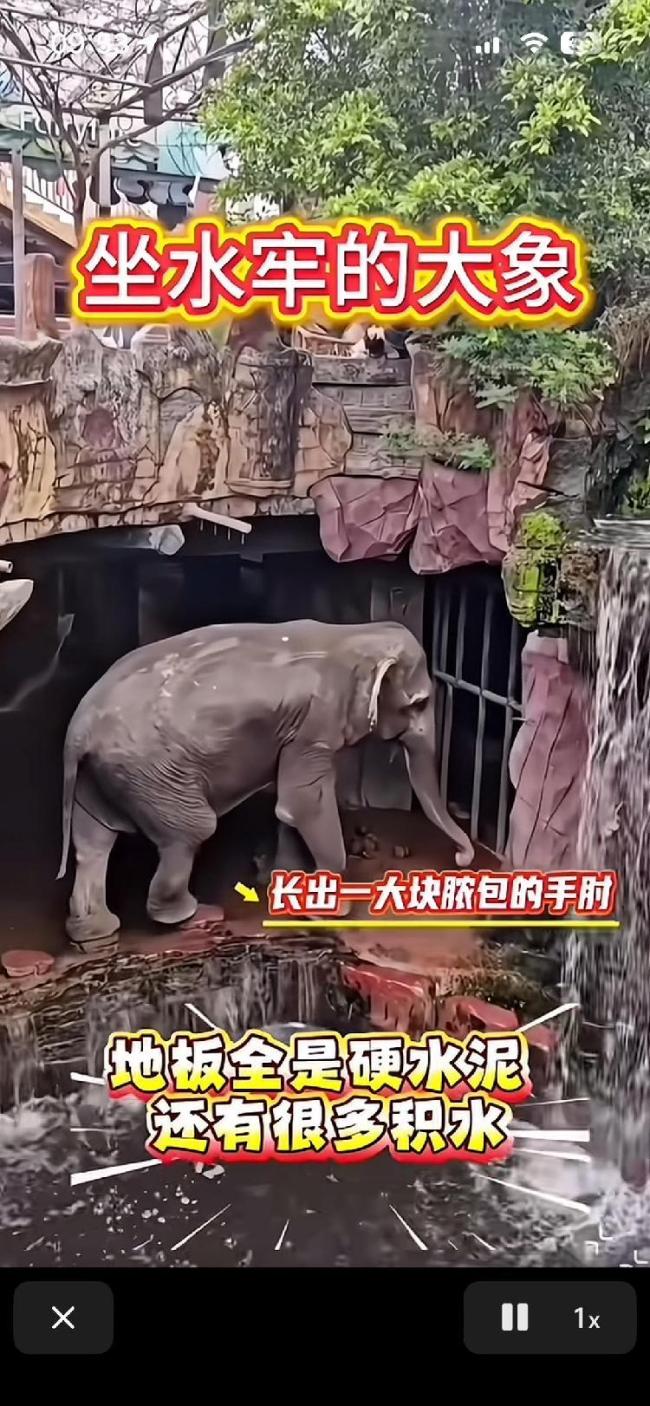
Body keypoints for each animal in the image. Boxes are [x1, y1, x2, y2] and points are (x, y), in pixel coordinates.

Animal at [57, 619, 474, 950]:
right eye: (418, 704)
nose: (460, 858)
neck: (351, 634)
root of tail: (77, 731)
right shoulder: (316, 720)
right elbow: (304, 801)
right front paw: (331, 909)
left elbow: (288, 806)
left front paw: (288, 883)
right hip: (152, 772)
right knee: (191, 831)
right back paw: (195, 915)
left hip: (104, 775)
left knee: (93, 842)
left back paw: (94, 931)